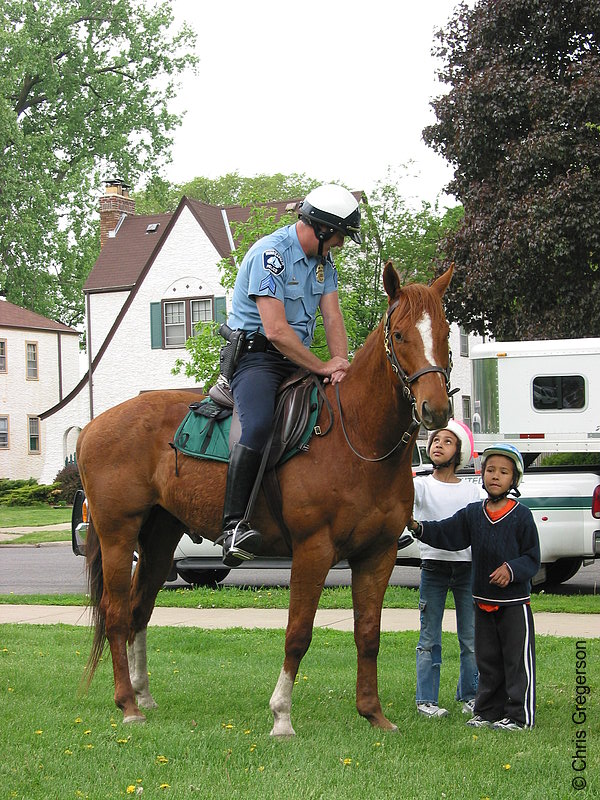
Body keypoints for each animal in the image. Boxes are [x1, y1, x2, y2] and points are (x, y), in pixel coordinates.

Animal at [79, 264, 452, 736]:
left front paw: (373, 713)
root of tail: (93, 426)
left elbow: (368, 633)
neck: (358, 441)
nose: (435, 409)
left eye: (445, 331)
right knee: (115, 612)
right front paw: (282, 716)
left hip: (159, 538)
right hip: (118, 533)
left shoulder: (378, 554)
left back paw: (143, 695)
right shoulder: (313, 550)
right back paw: (127, 704)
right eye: (400, 334)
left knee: (139, 609)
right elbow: (298, 633)